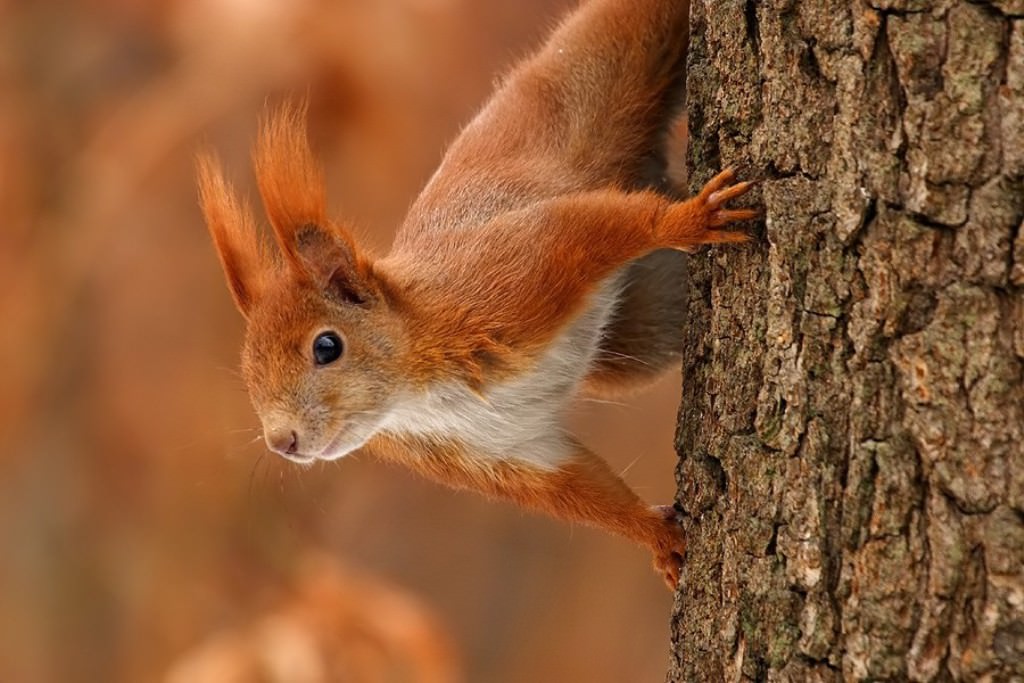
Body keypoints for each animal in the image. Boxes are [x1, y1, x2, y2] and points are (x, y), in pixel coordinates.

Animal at [197, 0, 753, 589]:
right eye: (248, 373)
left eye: (327, 347)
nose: (282, 441)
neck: (416, 394)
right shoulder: (498, 452)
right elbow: (575, 488)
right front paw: (659, 538)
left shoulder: (513, 274)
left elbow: (592, 227)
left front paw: (689, 220)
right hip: (644, 330)